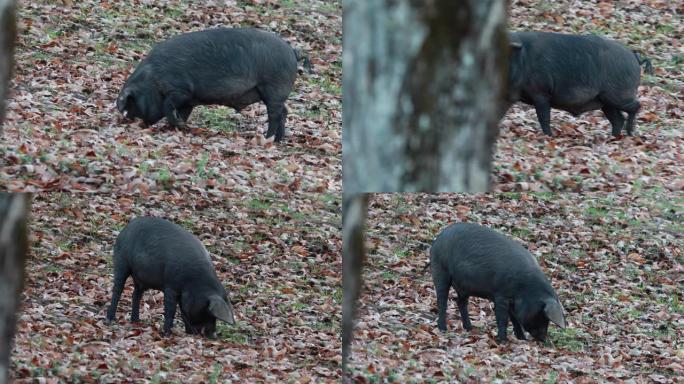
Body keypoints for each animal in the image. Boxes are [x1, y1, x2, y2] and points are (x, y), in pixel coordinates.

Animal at [106, 218, 235, 338]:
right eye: (207, 311)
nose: (213, 336)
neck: (194, 282)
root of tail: (125, 228)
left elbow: (183, 311)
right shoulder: (171, 286)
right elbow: (170, 310)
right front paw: (167, 334)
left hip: (140, 280)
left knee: (136, 295)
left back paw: (136, 321)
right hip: (121, 262)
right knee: (117, 289)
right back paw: (110, 319)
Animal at [119, 27, 308, 142]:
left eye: (132, 102)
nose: (137, 124)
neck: (153, 78)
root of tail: (292, 52)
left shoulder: (180, 91)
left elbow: (168, 106)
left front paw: (178, 125)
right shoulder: (188, 100)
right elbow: (182, 113)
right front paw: (179, 127)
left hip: (274, 89)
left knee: (276, 115)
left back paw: (267, 139)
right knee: (284, 112)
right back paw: (277, 141)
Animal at [430, 220, 564, 344]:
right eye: (542, 315)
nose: (543, 339)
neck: (525, 289)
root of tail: (437, 239)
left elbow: (515, 319)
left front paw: (522, 339)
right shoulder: (501, 295)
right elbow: (503, 319)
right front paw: (503, 341)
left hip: (463, 287)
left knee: (460, 302)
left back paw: (470, 328)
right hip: (440, 271)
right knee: (442, 300)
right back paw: (443, 329)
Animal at [508, 31, 652, 136]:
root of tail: (634, 57)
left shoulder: (540, 94)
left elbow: (544, 117)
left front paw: (549, 136)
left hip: (617, 96)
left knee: (636, 106)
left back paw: (629, 134)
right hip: (606, 103)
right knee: (618, 119)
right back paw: (613, 137)